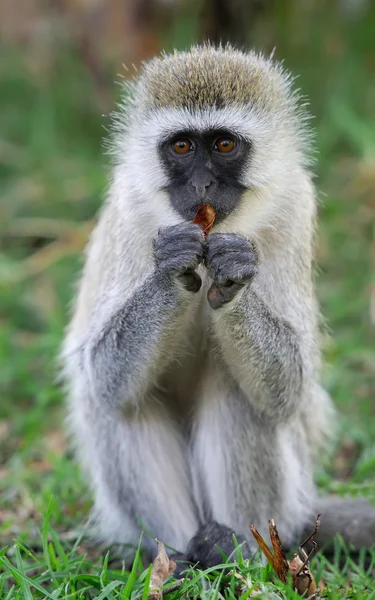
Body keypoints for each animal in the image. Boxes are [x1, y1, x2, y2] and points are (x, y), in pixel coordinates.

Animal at [61, 45, 375, 568]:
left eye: (224, 145)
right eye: (183, 147)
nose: (203, 187)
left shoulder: (295, 205)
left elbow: (289, 386)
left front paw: (233, 276)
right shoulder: (128, 210)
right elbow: (104, 375)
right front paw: (172, 269)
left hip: (286, 502)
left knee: (240, 395)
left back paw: (238, 549)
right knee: (121, 405)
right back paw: (177, 560)